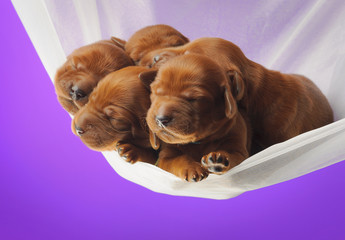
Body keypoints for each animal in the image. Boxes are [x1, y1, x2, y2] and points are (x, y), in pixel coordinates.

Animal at [140, 54, 250, 182]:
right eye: (155, 92)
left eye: (194, 99)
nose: (161, 119)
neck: (199, 142)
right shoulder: (166, 157)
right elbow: (180, 158)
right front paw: (192, 168)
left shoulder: (238, 148)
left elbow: (231, 154)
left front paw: (219, 160)